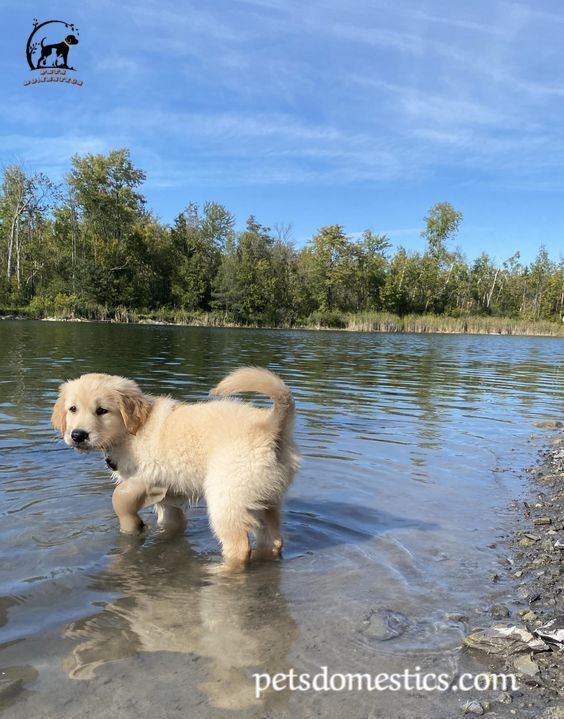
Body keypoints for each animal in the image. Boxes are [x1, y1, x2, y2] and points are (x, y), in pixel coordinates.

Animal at [51, 368, 300, 572]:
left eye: (102, 410)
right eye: (72, 409)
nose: (77, 435)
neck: (133, 430)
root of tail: (271, 425)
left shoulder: (147, 477)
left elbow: (120, 497)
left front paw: (133, 523)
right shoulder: (167, 498)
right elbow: (171, 522)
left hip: (226, 498)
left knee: (239, 548)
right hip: (267, 499)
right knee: (273, 539)